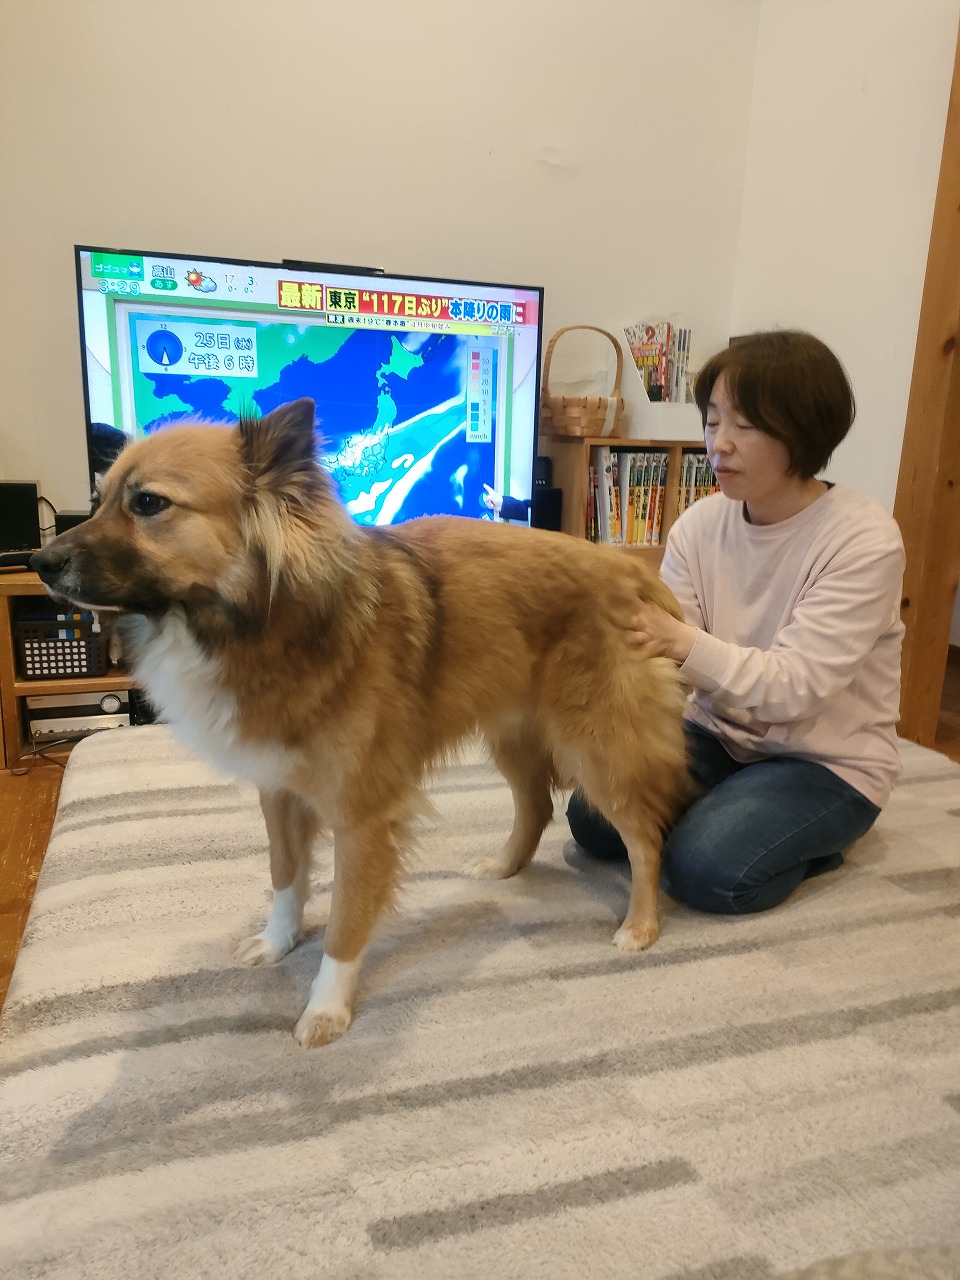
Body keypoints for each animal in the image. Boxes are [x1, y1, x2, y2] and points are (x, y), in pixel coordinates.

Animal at [32, 398, 689, 1047]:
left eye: (148, 503)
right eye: (98, 499)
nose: (38, 562)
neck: (268, 623)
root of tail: (633, 572)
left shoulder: (362, 814)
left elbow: (347, 922)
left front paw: (326, 1009)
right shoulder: (277, 789)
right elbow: (286, 876)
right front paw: (277, 943)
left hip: (600, 749)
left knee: (644, 836)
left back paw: (641, 926)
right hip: (513, 734)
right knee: (535, 807)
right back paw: (505, 867)